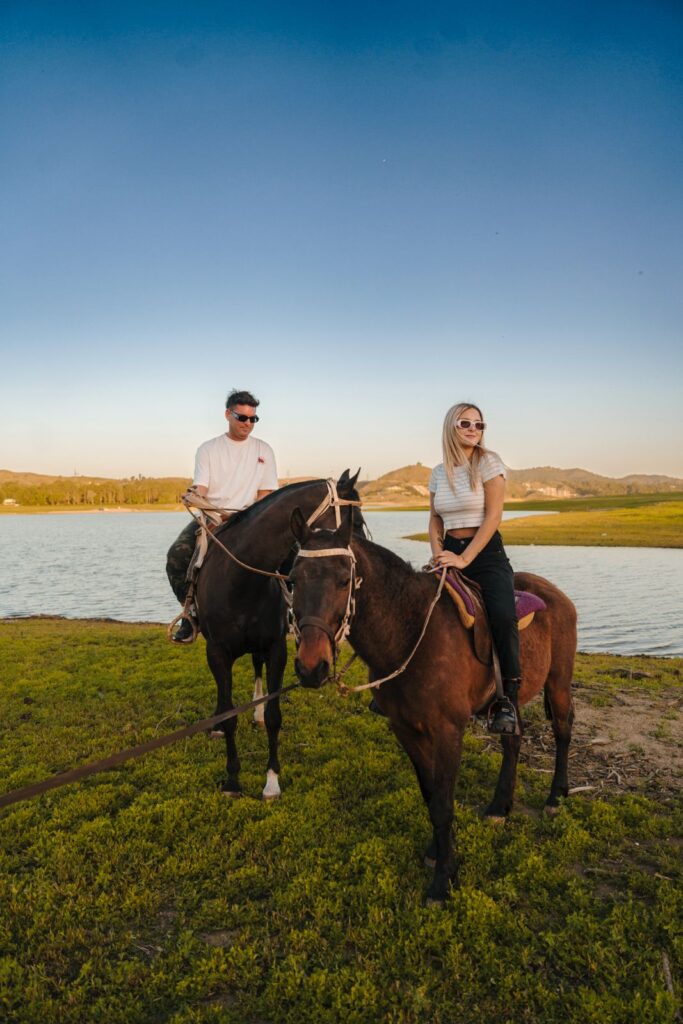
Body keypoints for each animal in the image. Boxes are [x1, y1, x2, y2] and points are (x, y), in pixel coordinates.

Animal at [193, 468, 362, 798]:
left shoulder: (275, 649)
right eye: (357, 522)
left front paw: (271, 780)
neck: (240, 582)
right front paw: (232, 780)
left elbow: (274, 716)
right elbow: (229, 714)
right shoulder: (217, 651)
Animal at [288, 512, 577, 905]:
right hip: (511, 702)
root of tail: (555, 594)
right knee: (513, 741)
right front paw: (438, 853)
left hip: (558, 683)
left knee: (562, 731)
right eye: (292, 580)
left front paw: (443, 880)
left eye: (344, 580)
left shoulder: (448, 732)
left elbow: (443, 803)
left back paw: (555, 796)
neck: (409, 633)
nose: (310, 667)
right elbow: (430, 796)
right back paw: (498, 807)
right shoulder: (406, 729)